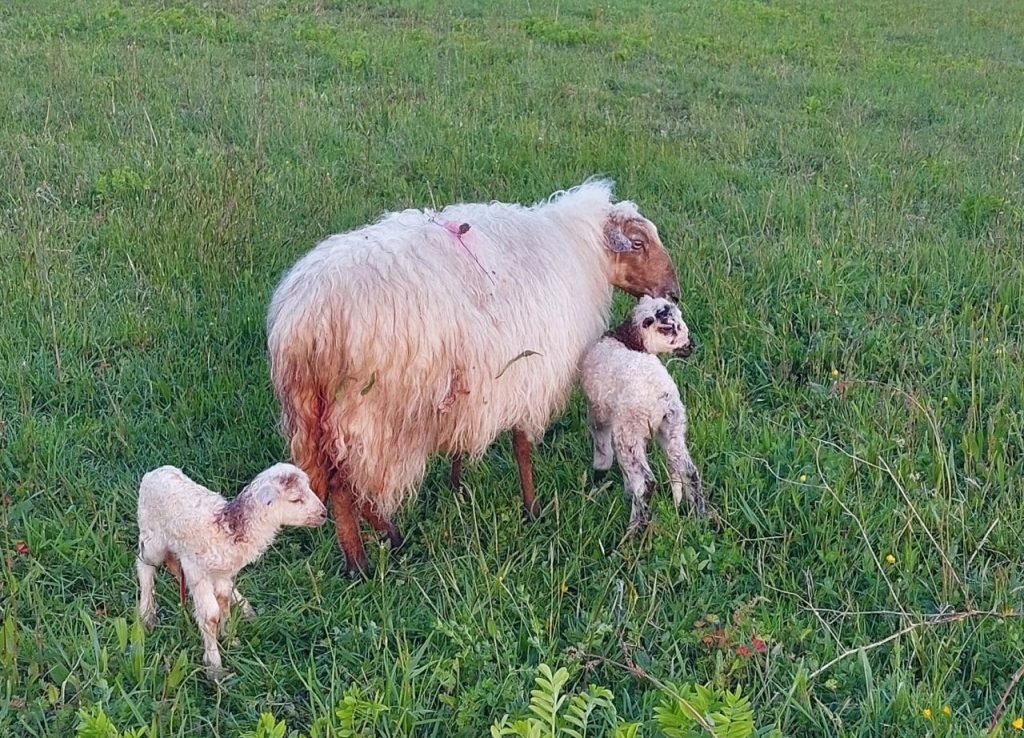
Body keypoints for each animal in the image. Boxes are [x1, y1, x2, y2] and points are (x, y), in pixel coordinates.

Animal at [136, 463, 327, 679]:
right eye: (295, 499)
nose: (324, 514)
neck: (229, 528)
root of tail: (155, 472)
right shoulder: (198, 571)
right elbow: (210, 615)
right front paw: (215, 667)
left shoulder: (221, 573)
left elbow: (223, 600)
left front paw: (229, 637)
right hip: (152, 535)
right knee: (144, 565)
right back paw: (147, 615)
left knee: (174, 567)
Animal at [267, 179, 681, 575]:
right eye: (639, 243)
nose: (674, 293)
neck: (578, 250)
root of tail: (306, 325)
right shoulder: (528, 373)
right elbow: (522, 446)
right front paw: (532, 509)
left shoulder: (473, 381)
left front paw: (457, 484)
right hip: (374, 413)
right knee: (350, 484)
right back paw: (371, 554)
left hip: (319, 413)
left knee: (335, 482)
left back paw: (375, 546)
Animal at [580, 296, 705, 535]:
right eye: (669, 327)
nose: (691, 345)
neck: (625, 339)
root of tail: (661, 397)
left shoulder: (598, 411)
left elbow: (602, 445)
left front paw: (599, 475)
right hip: (672, 427)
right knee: (689, 471)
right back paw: (702, 517)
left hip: (630, 431)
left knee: (646, 483)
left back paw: (632, 533)